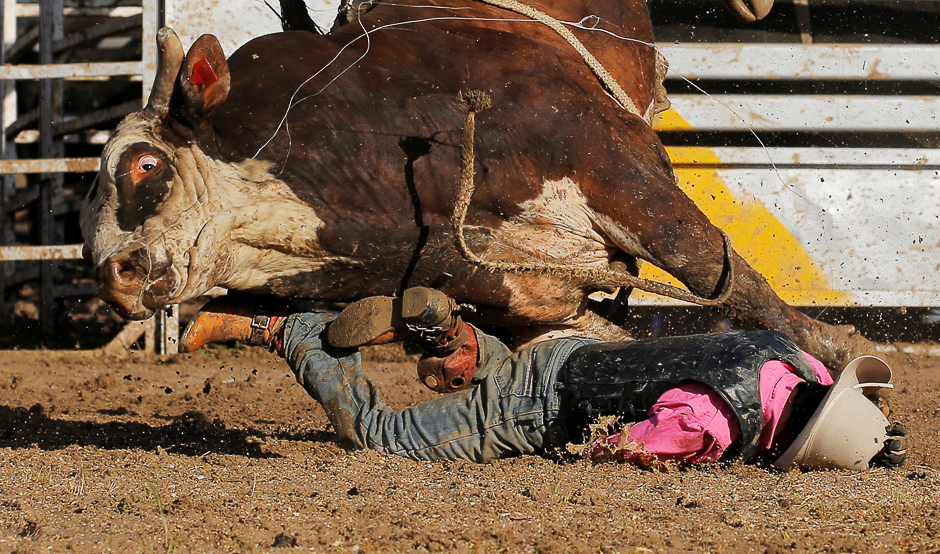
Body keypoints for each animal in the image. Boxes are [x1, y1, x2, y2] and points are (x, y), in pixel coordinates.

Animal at [79, 0, 872, 366]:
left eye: (146, 166)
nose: (112, 275)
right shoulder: (524, 291)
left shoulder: (612, 161)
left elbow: (716, 270)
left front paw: (839, 353)